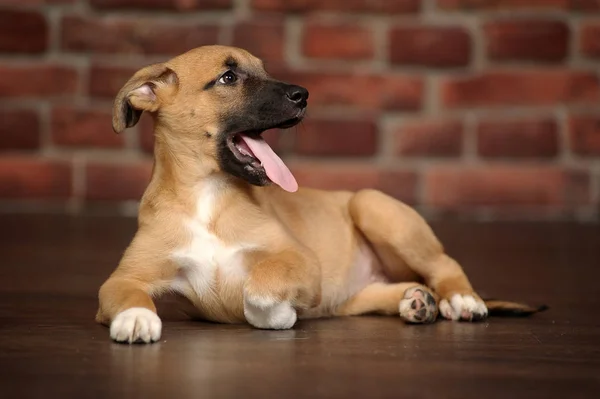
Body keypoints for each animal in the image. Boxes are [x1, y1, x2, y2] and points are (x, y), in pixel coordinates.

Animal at [96, 46, 548, 344]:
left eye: (263, 70)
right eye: (228, 78)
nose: (303, 95)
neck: (207, 198)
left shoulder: (299, 259)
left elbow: (260, 285)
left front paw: (277, 314)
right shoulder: (125, 277)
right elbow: (125, 293)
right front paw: (136, 318)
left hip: (372, 205)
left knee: (444, 265)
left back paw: (461, 299)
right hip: (352, 294)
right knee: (397, 288)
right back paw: (417, 301)